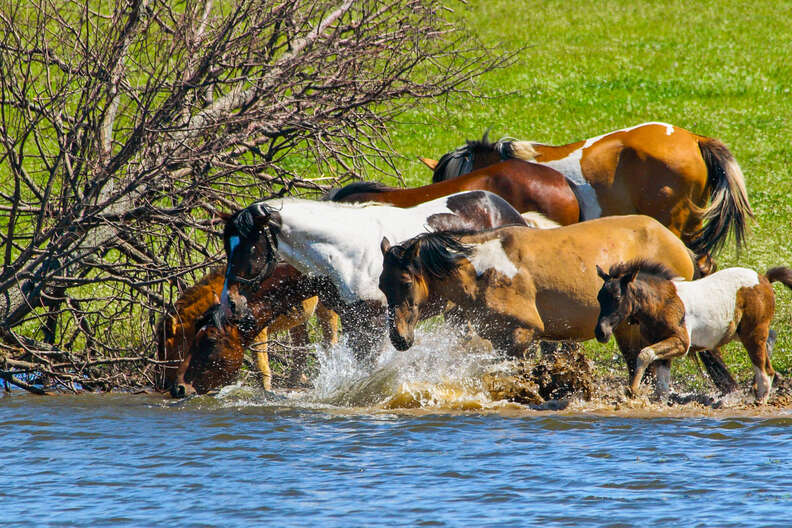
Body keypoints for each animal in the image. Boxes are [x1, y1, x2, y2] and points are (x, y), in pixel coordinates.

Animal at [220, 190, 532, 358]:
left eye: (250, 247)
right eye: (227, 246)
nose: (230, 303)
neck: (347, 253)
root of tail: (507, 209)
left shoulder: (372, 327)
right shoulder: (353, 323)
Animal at [378, 213, 736, 392]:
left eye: (405, 282)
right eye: (382, 285)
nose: (399, 338)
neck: (483, 269)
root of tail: (676, 242)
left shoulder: (520, 337)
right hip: (628, 330)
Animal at [592, 260, 792, 404]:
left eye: (618, 297)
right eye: (599, 298)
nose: (601, 332)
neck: (662, 303)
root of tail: (763, 278)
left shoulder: (681, 343)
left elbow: (644, 354)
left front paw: (632, 390)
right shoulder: (663, 345)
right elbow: (662, 385)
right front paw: (655, 402)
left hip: (752, 333)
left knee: (765, 368)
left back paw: (760, 398)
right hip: (743, 332)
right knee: (770, 340)